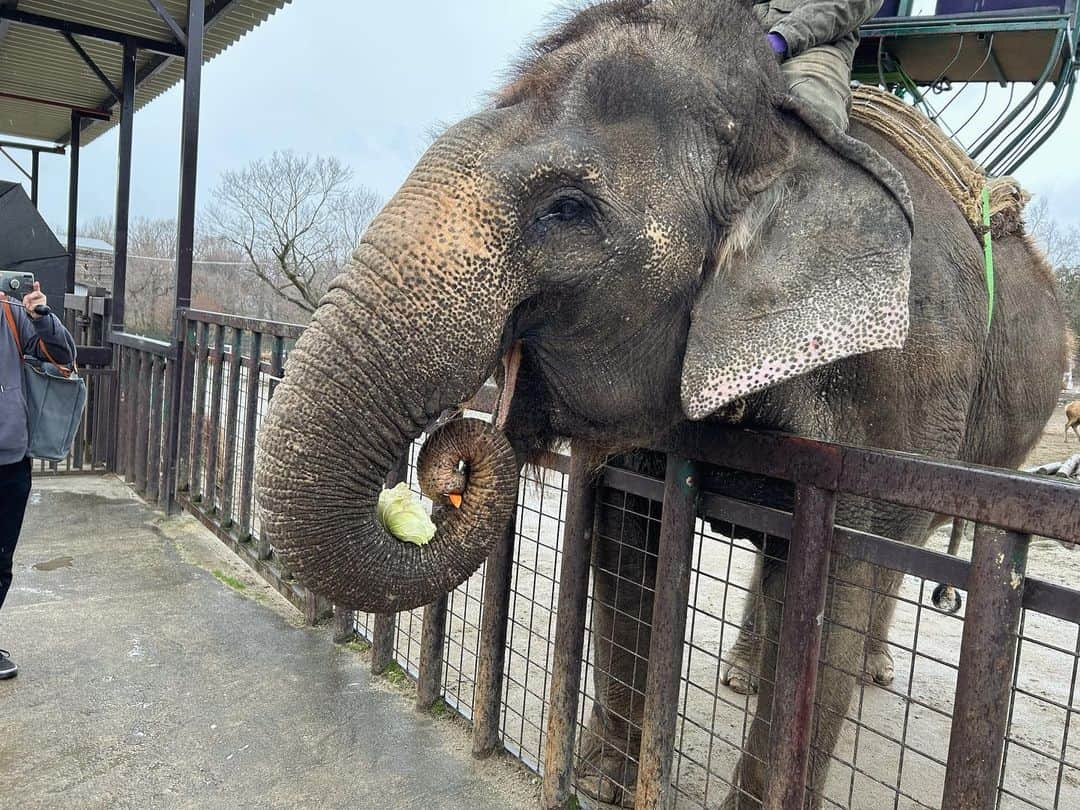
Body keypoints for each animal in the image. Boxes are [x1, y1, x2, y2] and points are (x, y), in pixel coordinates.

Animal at [254, 3, 1071, 807]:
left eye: (566, 209)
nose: (453, 468)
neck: (783, 136)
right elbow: (628, 540)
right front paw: (599, 782)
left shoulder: (905, 380)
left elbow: (840, 579)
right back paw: (744, 675)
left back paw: (867, 672)